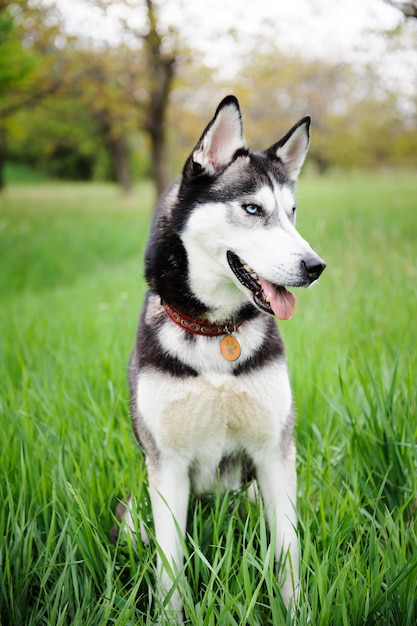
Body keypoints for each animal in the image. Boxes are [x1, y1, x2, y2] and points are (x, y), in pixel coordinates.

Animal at [123, 95, 324, 616]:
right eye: (252, 209)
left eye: (292, 213)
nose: (316, 266)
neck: (215, 333)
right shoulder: (167, 465)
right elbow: (169, 566)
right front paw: (170, 617)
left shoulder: (275, 453)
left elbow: (288, 551)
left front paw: (294, 611)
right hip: (135, 508)